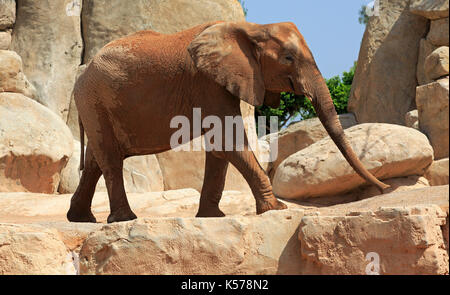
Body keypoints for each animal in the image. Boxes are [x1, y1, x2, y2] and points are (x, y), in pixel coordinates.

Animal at [67, 20, 390, 223]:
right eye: (288, 58)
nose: (386, 189)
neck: (253, 28)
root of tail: (80, 76)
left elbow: (220, 147)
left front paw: (213, 217)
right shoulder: (207, 82)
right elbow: (229, 141)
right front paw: (277, 208)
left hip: (95, 106)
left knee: (96, 160)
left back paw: (81, 219)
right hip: (94, 101)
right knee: (110, 160)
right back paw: (124, 219)